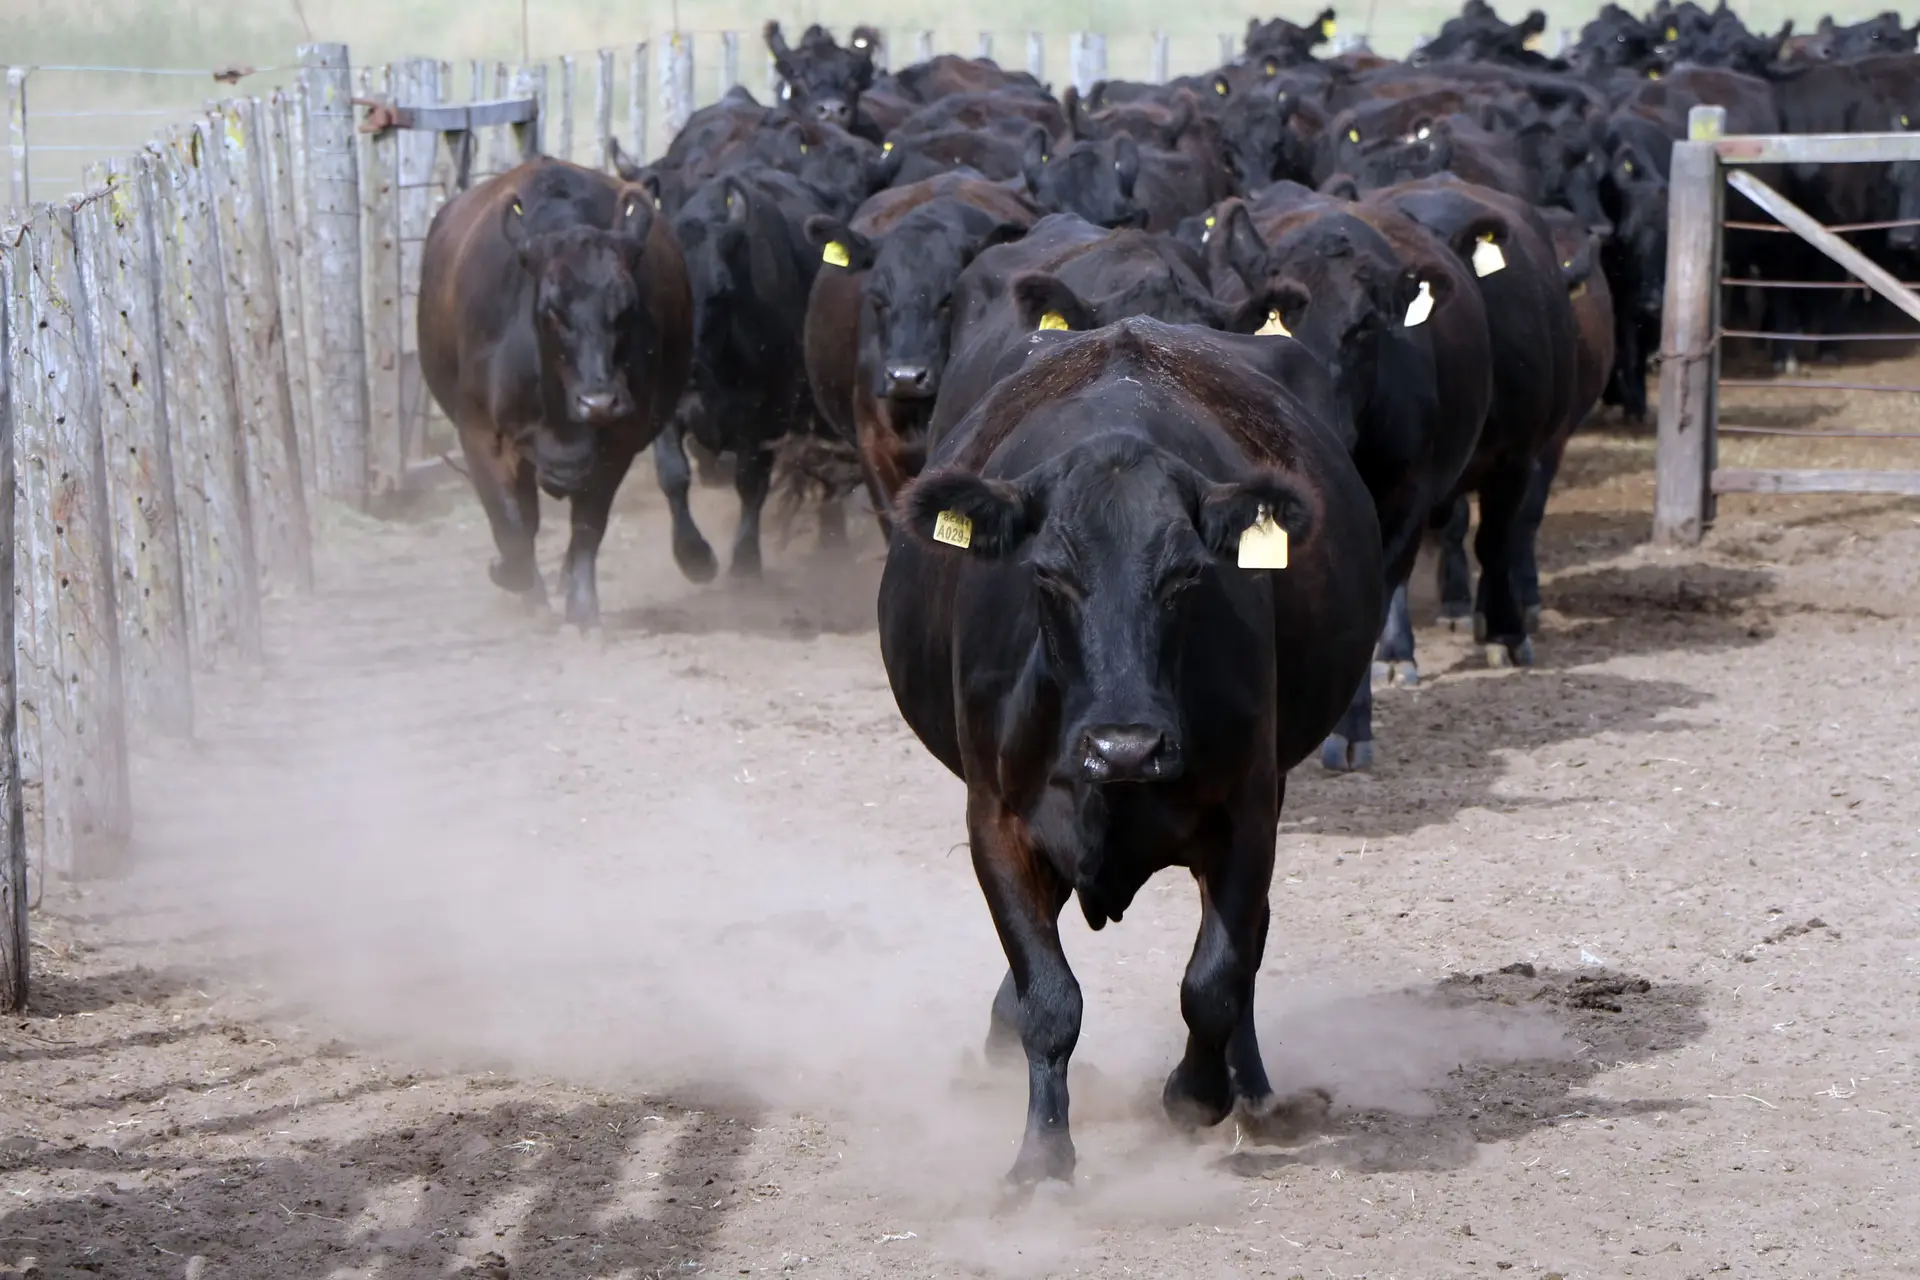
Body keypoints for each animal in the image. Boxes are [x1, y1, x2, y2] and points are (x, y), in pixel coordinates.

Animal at [418, 158, 691, 629]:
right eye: (552, 310)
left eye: (626, 306)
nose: (598, 402)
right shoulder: (481, 435)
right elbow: (511, 526)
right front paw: (515, 581)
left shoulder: (619, 442)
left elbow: (588, 526)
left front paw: (582, 610)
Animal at [877, 317, 1384, 1185]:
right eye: (1048, 575)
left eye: (1186, 577)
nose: (1125, 746)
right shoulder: (995, 820)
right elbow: (1050, 998)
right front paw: (1042, 1158)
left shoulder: (1249, 811)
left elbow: (1216, 979)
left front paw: (1195, 1095)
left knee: (1247, 949)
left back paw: (1254, 1094)